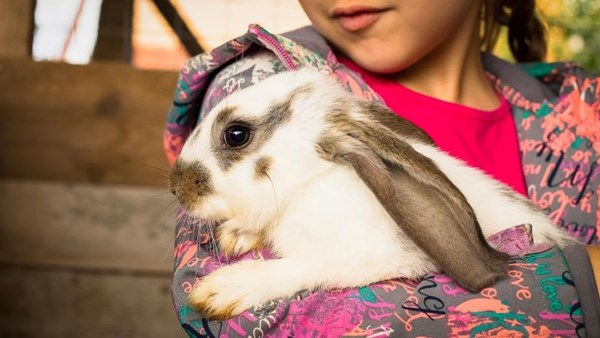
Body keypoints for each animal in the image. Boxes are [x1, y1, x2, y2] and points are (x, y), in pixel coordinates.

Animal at [169, 67, 572, 320]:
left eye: (236, 135)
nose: (175, 186)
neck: (312, 182)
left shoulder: (374, 258)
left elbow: (305, 267)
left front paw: (223, 290)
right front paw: (236, 234)